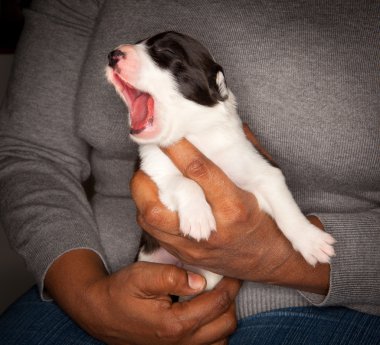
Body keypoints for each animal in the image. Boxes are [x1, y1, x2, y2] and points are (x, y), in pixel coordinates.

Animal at [107, 31, 336, 290]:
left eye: (167, 52)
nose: (113, 54)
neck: (195, 134)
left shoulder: (262, 169)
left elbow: (285, 205)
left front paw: (312, 241)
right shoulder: (153, 172)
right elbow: (184, 182)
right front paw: (198, 218)